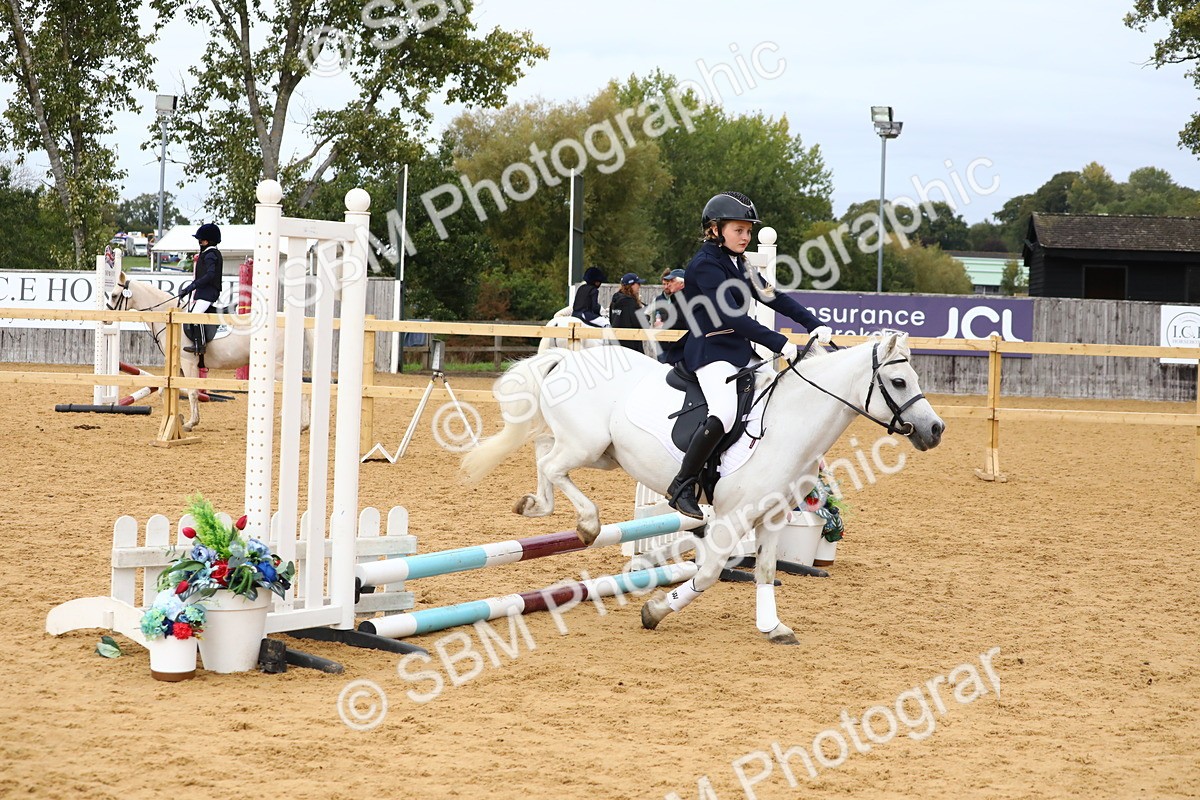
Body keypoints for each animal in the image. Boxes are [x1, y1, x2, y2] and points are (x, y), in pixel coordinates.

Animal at [106, 270, 310, 432]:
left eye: (115, 296)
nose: (106, 318)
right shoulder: (178, 366)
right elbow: (166, 391)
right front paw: (178, 418)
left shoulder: (188, 362)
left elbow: (192, 392)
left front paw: (190, 423)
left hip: (277, 365)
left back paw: (302, 425)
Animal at [461, 331, 944, 644]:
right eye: (899, 381)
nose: (935, 430)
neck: (790, 421)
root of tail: (567, 359)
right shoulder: (731, 519)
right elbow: (708, 572)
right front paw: (654, 611)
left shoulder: (772, 517)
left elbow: (764, 570)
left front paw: (772, 627)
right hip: (587, 444)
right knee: (553, 464)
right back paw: (586, 525)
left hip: (601, 451)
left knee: (544, 453)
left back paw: (534, 505)